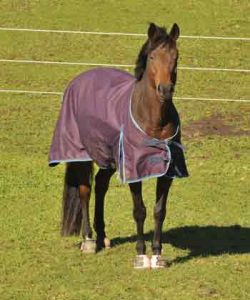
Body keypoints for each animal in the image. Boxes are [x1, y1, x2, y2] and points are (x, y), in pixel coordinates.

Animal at [48, 22, 188, 268]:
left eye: (176, 56)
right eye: (153, 56)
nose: (165, 89)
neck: (152, 119)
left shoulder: (167, 170)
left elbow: (159, 211)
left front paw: (157, 255)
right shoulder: (134, 168)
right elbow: (139, 210)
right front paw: (141, 256)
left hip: (109, 157)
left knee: (101, 185)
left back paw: (102, 237)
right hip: (81, 153)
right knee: (85, 190)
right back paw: (89, 241)